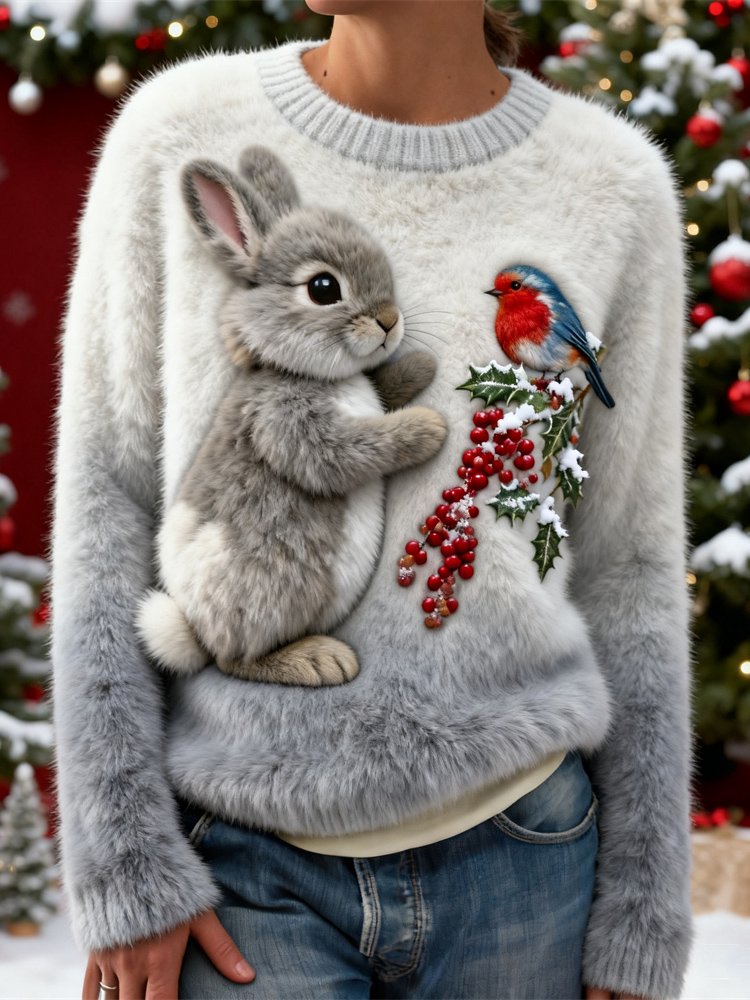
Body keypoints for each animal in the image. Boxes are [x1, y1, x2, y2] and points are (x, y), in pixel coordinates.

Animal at [135, 146, 448, 687]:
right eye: (323, 288)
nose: (390, 321)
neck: (311, 376)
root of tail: (196, 631)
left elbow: (381, 389)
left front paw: (420, 366)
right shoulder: (282, 423)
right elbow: (350, 451)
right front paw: (428, 427)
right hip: (268, 591)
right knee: (235, 660)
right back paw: (321, 660)